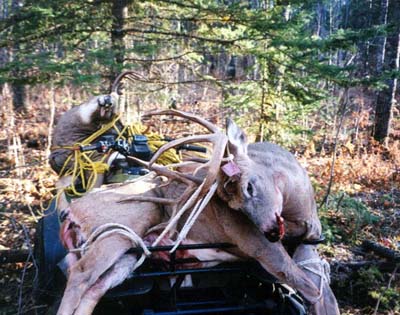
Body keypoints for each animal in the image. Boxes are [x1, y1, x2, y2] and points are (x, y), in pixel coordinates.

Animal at [54, 110, 340, 315]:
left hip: (132, 252)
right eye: (235, 207)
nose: (270, 232)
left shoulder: (308, 247)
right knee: (80, 273)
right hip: (126, 224)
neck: (299, 210)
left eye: (248, 187)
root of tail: (71, 211)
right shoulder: (254, 244)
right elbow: (309, 289)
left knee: (93, 287)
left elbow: (326, 298)